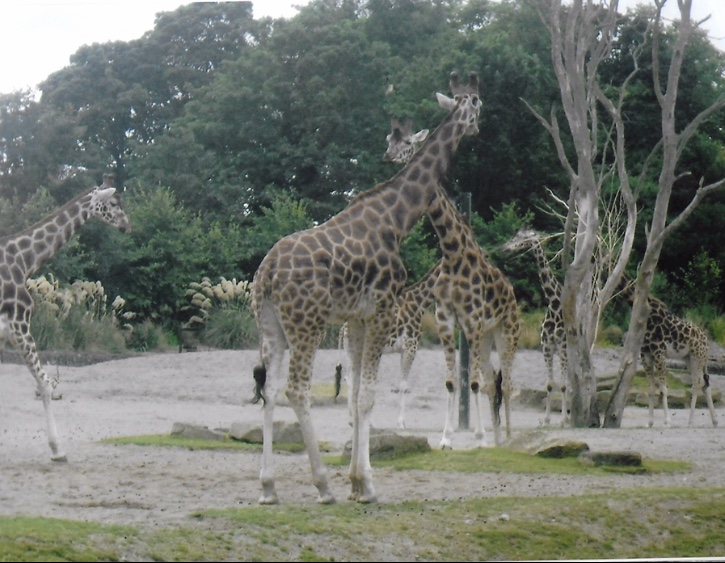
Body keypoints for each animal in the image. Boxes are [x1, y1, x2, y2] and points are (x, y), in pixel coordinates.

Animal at [0, 174, 130, 461]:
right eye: (114, 203)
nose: (128, 225)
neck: (24, 261)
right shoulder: (19, 325)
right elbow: (45, 384)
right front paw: (58, 450)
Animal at [251, 71, 481, 505]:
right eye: (477, 103)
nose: (478, 126)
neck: (397, 219)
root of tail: (267, 273)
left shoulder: (356, 319)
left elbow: (357, 396)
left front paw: (357, 482)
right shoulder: (381, 310)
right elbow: (369, 396)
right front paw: (367, 486)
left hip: (270, 325)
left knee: (269, 390)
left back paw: (269, 488)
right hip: (306, 324)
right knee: (297, 390)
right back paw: (323, 486)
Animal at [502, 228, 568, 426]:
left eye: (521, 238)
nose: (504, 248)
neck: (554, 303)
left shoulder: (562, 346)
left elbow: (562, 385)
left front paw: (563, 420)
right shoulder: (546, 346)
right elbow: (549, 384)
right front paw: (546, 419)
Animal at [618, 275, 718, 428]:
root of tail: (706, 340)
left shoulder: (659, 353)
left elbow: (663, 388)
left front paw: (667, 420)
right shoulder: (646, 355)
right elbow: (651, 389)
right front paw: (650, 422)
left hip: (697, 357)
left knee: (697, 384)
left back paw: (690, 421)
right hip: (690, 359)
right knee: (705, 383)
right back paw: (714, 421)